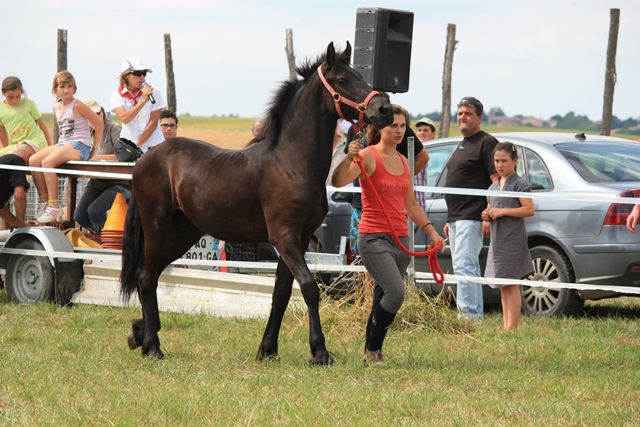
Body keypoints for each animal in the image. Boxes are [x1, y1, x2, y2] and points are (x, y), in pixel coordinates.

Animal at [117, 42, 392, 364]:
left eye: (359, 76)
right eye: (342, 80)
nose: (384, 109)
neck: (291, 163)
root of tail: (145, 158)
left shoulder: (300, 238)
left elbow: (281, 294)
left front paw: (268, 349)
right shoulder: (284, 237)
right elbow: (309, 288)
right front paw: (320, 352)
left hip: (184, 233)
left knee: (150, 277)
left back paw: (141, 335)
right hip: (156, 228)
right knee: (146, 278)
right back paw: (153, 346)